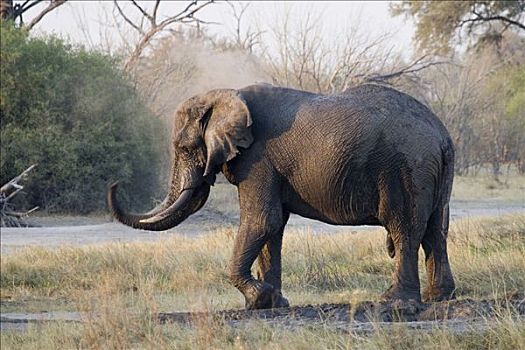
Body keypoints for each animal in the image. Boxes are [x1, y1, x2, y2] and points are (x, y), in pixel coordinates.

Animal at [107, 83, 454, 310]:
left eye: (184, 148)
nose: (115, 183)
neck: (226, 94)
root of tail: (443, 135)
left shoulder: (257, 159)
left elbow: (262, 220)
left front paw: (257, 300)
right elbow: (273, 227)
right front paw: (274, 302)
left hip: (406, 167)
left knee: (405, 228)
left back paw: (395, 303)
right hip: (431, 173)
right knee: (435, 230)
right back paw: (439, 297)